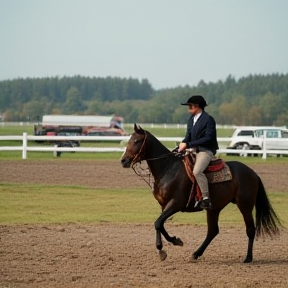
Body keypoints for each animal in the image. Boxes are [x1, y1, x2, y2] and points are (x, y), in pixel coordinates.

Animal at [120, 122, 282, 262]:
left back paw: (248, 258)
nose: (123, 161)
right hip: (214, 208)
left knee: (250, 229)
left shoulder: (176, 204)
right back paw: (196, 253)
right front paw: (174, 242)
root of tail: (252, 173)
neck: (168, 168)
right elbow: (160, 224)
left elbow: (158, 223)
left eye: (137, 141)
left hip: (245, 206)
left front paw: (163, 249)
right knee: (213, 231)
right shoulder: (164, 206)